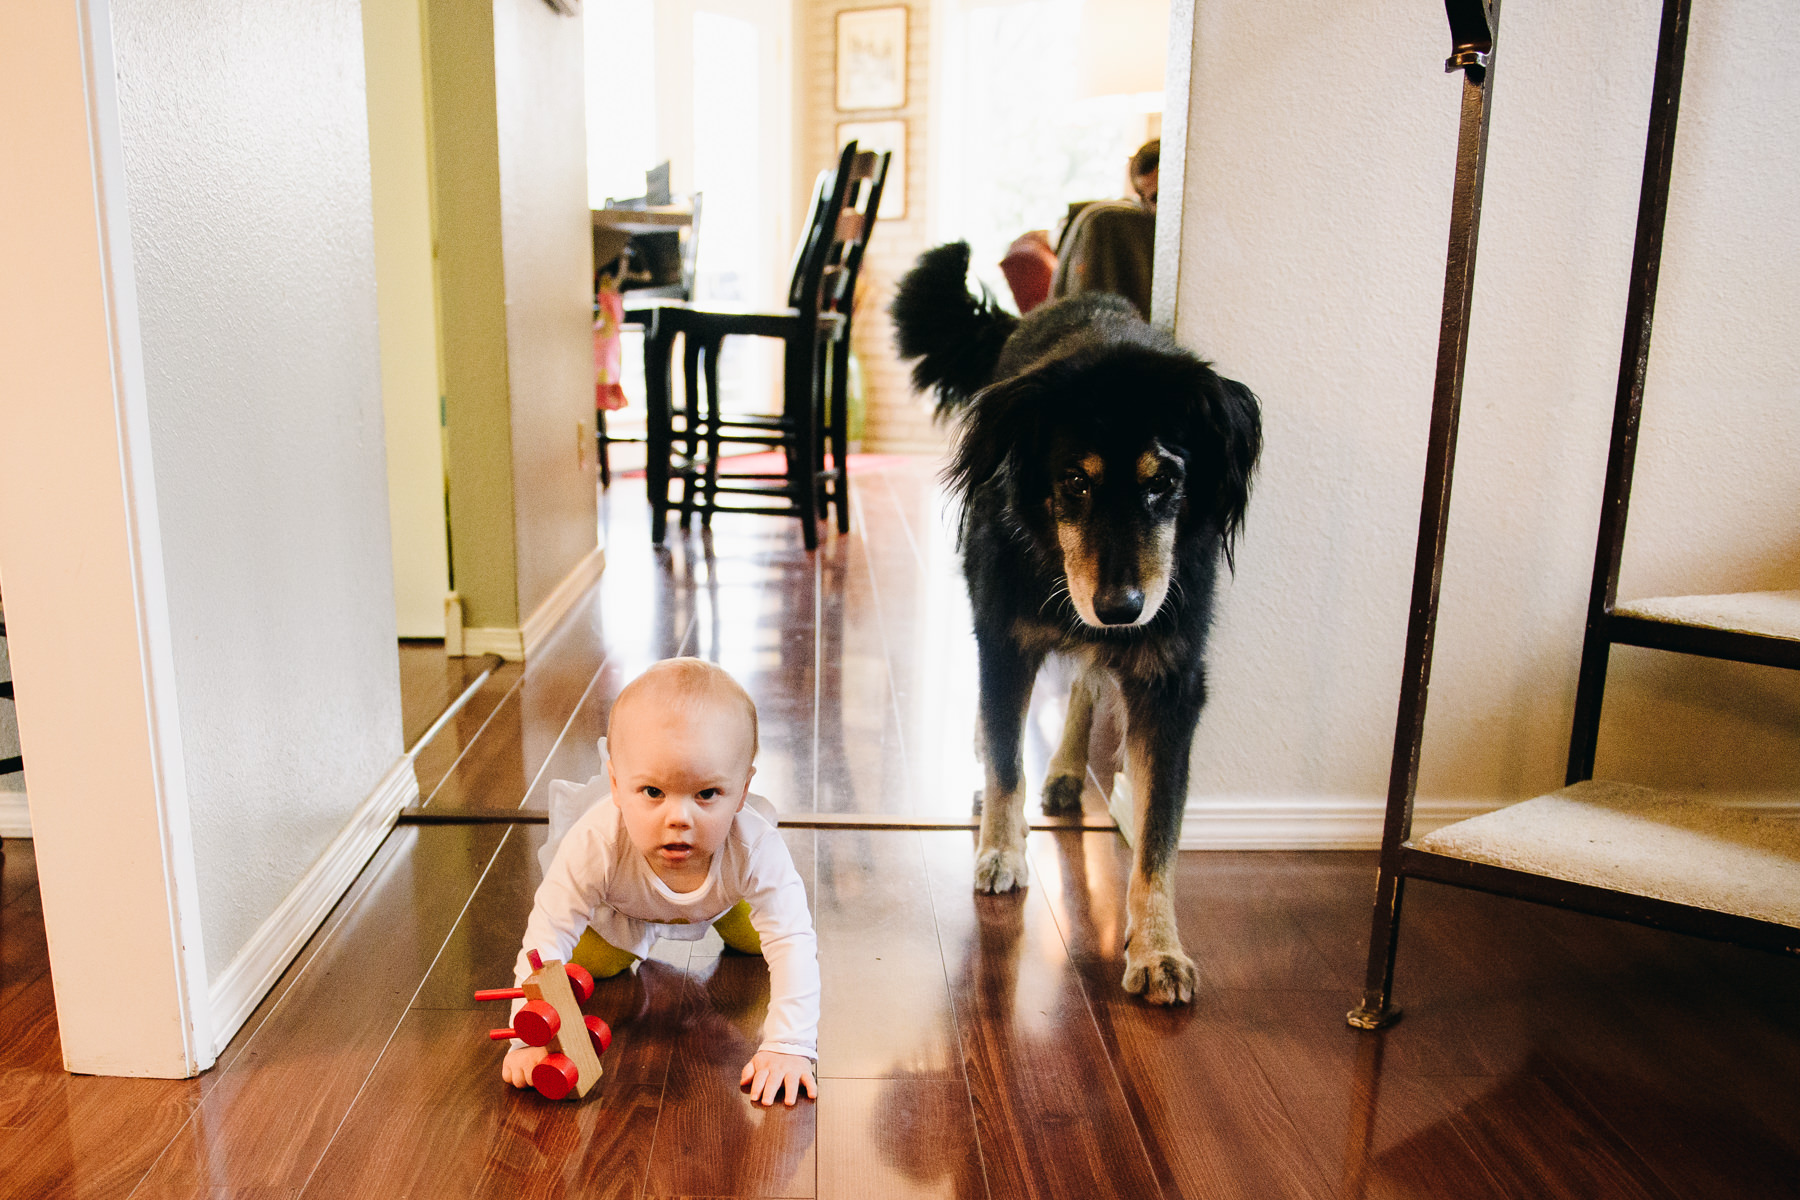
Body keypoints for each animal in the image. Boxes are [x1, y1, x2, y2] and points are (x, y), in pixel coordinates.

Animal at [892, 241, 1260, 1007]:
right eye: (1074, 482)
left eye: (1165, 481)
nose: (1122, 607)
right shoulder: (1003, 639)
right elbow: (1007, 758)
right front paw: (1002, 851)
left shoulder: (1172, 683)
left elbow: (1159, 832)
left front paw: (1157, 948)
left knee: (1088, 681)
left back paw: (1064, 768)